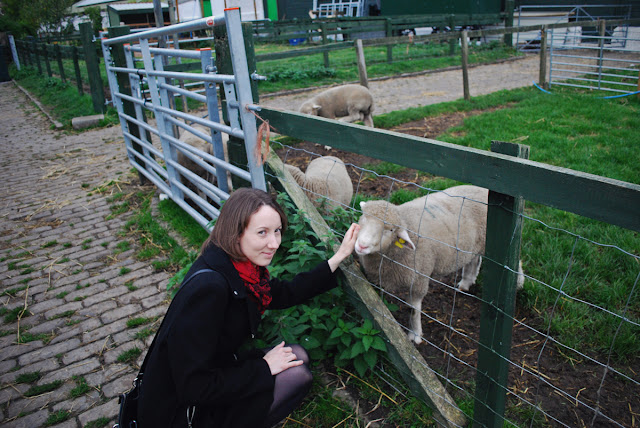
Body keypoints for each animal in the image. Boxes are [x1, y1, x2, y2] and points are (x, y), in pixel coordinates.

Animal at [356, 186, 524, 346]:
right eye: (363, 218)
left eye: (390, 230)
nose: (361, 245)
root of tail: (483, 190)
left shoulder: (419, 280)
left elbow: (413, 310)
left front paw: (415, 335)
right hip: (473, 245)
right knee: (474, 261)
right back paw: (465, 283)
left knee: (513, 263)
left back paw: (518, 284)